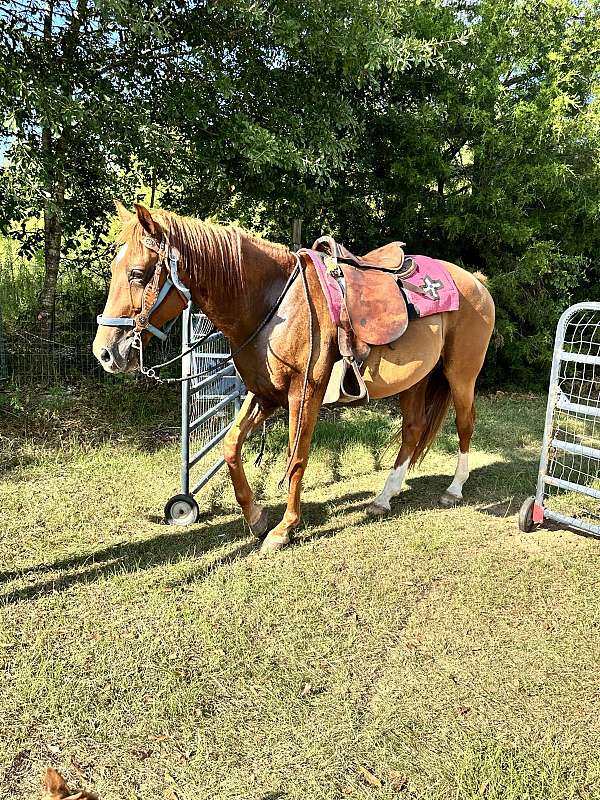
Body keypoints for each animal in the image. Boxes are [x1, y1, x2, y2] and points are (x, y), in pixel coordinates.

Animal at [94, 203, 494, 552]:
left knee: (465, 425)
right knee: (412, 432)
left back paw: (453, 490)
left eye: (137, 274)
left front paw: (283, 529)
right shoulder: (264, 394)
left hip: (461, 376)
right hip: (416, 381)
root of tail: (475, 282)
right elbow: (231, 447)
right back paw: (383, 498)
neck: (274, 306)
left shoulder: (304, 394)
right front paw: (256, 518)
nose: (105, 352)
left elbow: (296, 458)